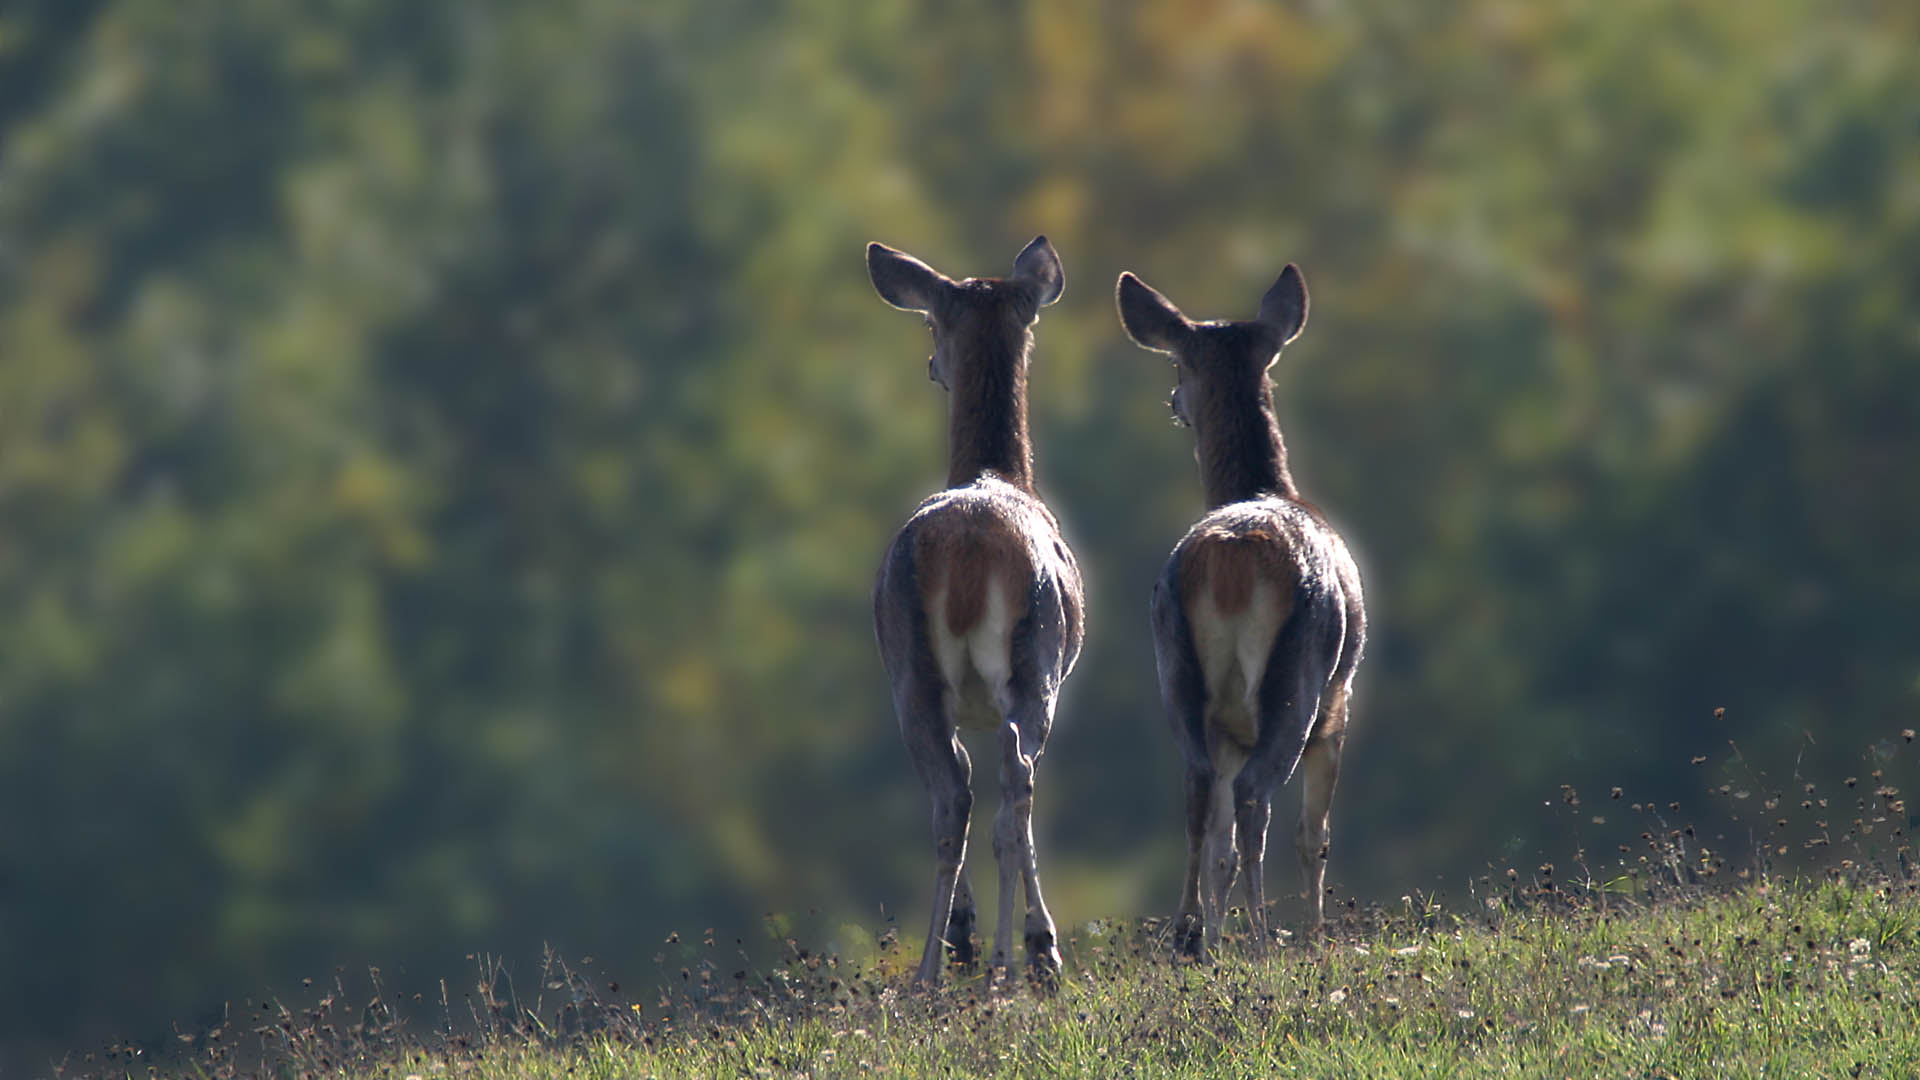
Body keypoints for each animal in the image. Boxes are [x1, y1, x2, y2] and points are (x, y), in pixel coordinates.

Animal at [867, 235, 1082, 983]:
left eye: (934, 324)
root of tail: (964, 550)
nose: (931, 365)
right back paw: (1020, 958)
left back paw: (936, 967)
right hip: (1034, 654)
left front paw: (962, 933)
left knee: (950, 797)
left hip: (909, 672)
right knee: (1012, 781)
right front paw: (1029, 944)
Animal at [1113, 263, 1367, 957]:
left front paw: (1212, 932)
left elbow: (1220, 845)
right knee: (1258, 799)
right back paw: (1263, 938)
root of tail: (1231, 553)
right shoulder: (1339, 706)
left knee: (1198, 791)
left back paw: (1188, 934)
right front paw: (1316, 935)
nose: (1172, 403)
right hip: (1298, 676)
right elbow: (1315, 837)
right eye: (1179, 366)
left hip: (1174, 664)